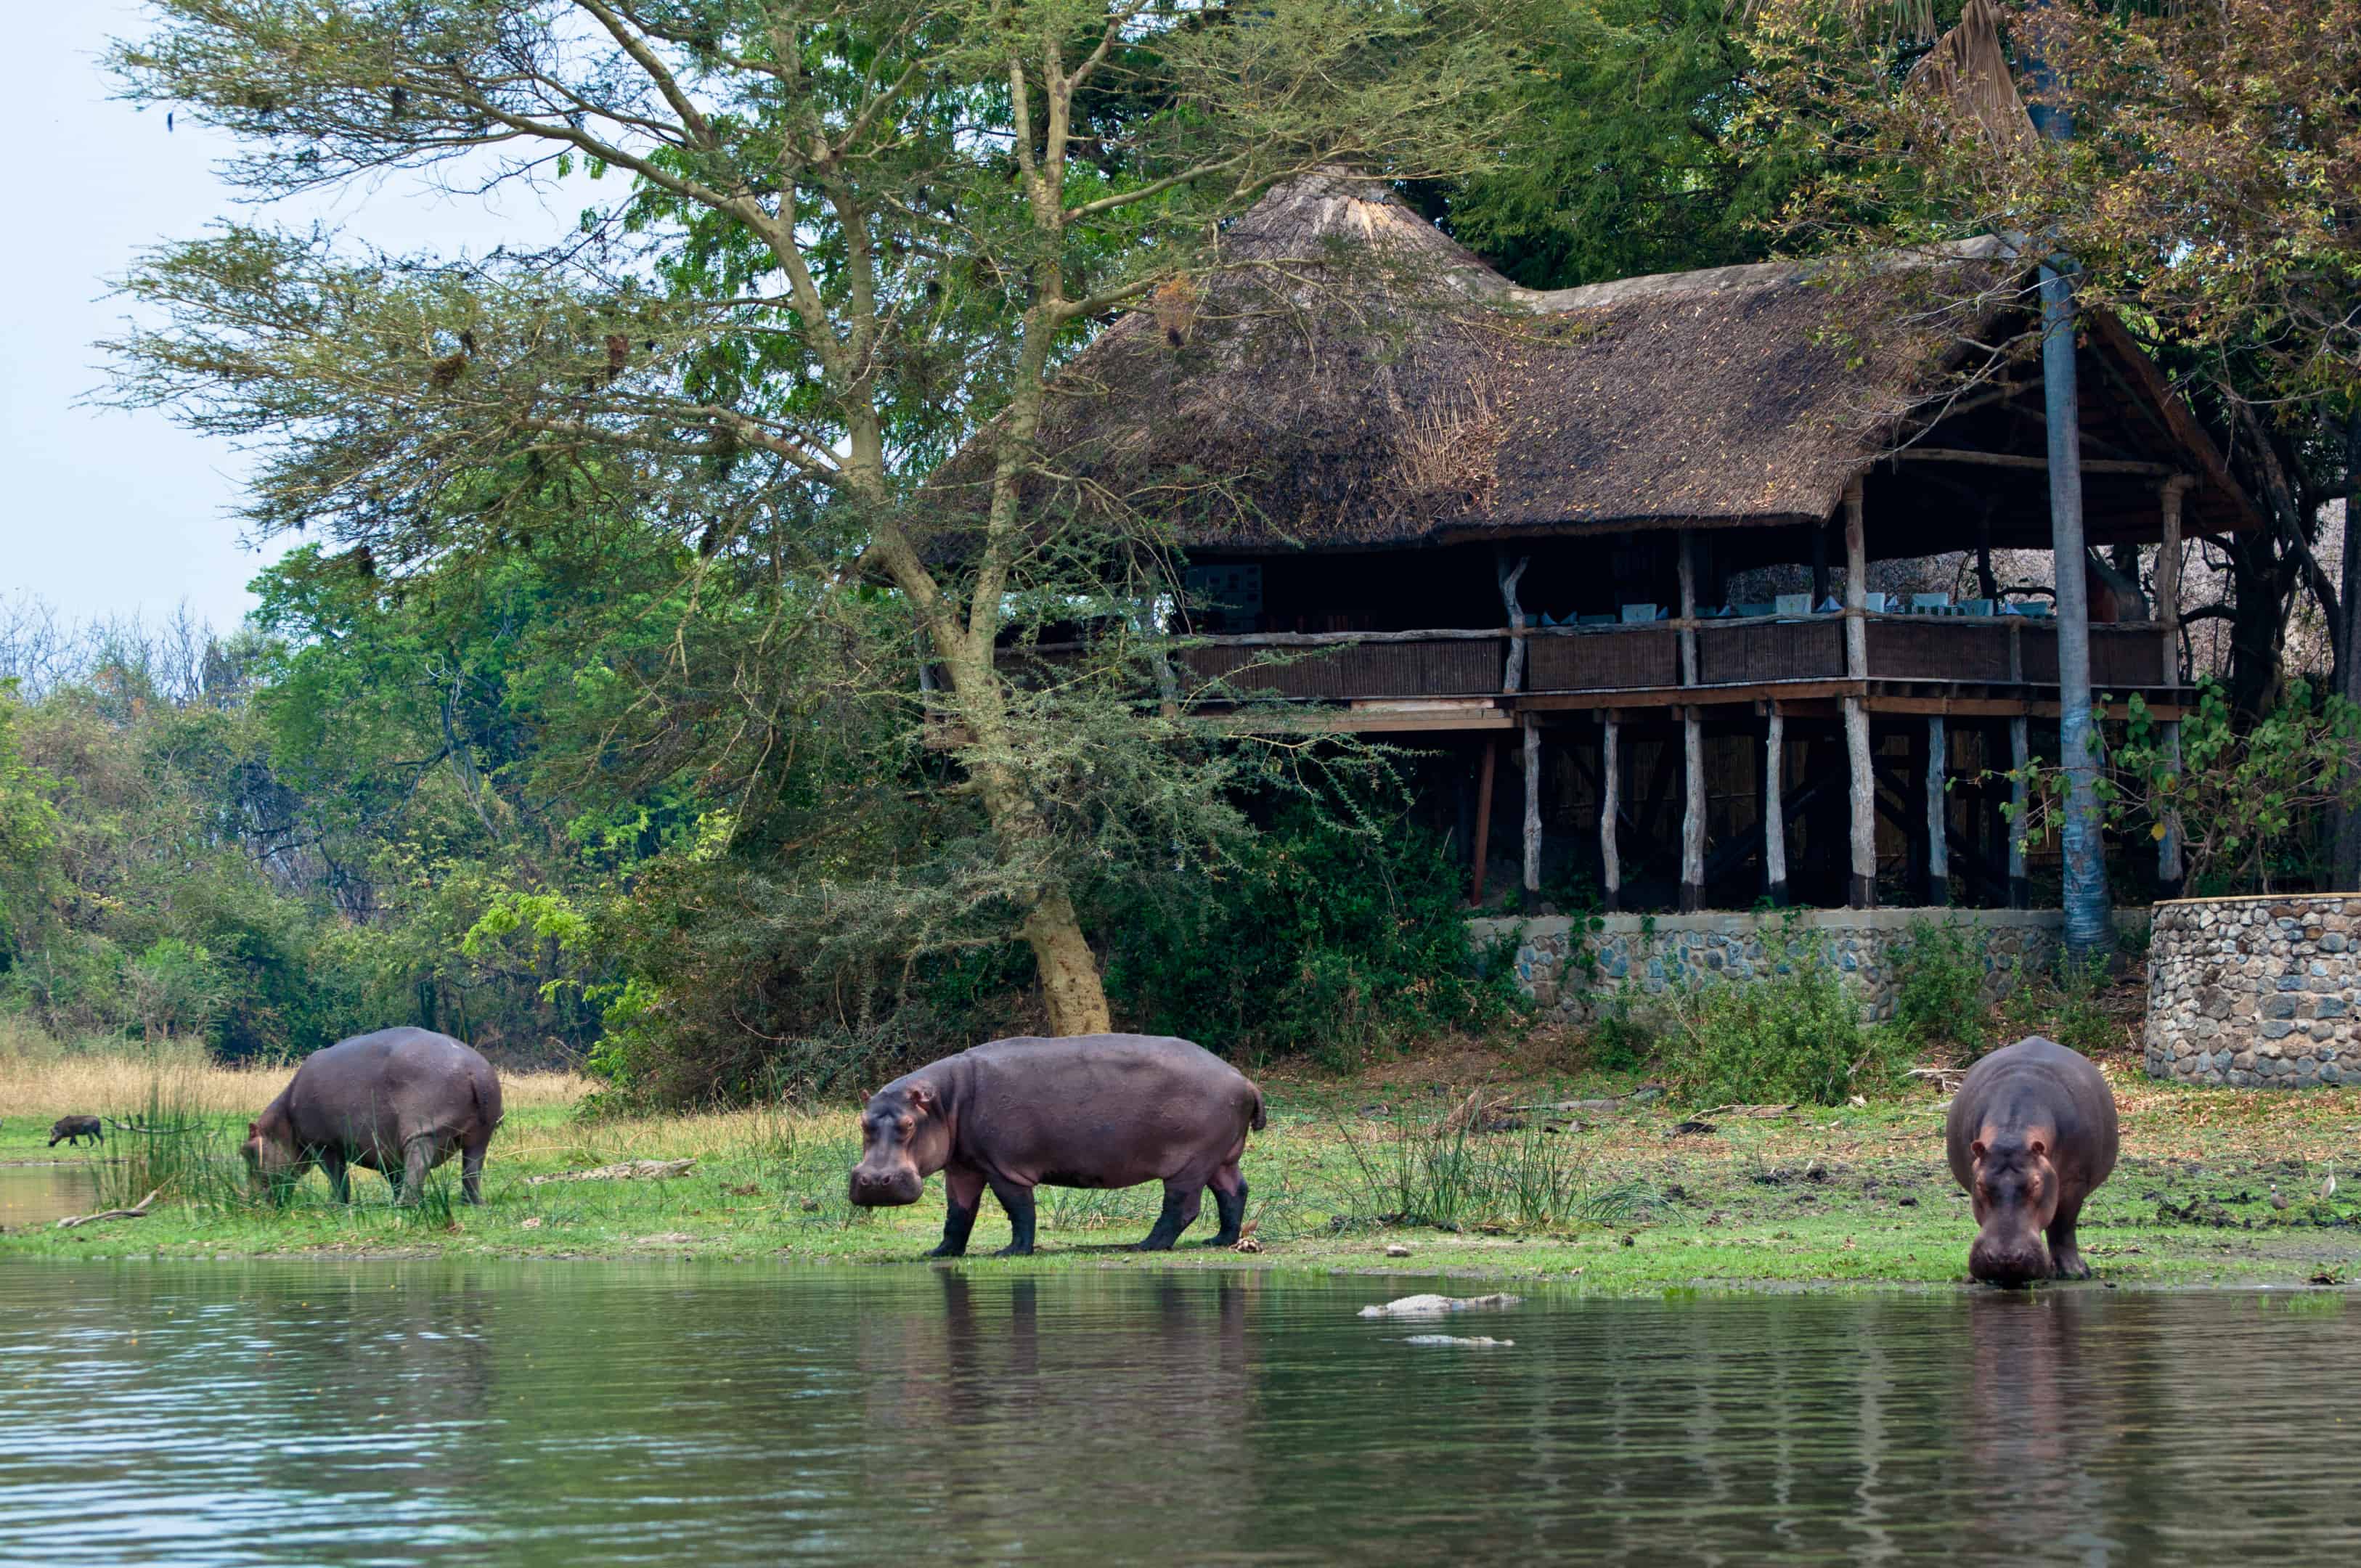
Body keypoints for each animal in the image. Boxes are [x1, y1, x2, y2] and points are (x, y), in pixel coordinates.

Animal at [245, 1024, 502, 1204]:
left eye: (246, 1151)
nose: (249, 1202)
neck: (283, 1122)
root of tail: (474, 1070)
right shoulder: (387, 1150)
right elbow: (393, 1176)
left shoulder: (323, 1145)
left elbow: (337, 1177)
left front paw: (335, 1205)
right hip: (482, 1133)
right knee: (472, 1168)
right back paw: (471, 1202)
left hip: (422, 1131)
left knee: (418, 1164)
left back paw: (405, 1204)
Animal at [855, 1029, 1265, 1265]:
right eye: (862, 1122)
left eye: (909, 1125)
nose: (874, 1182)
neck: (944, 1103)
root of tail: (1243, 1079)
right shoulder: (963, 1167)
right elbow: (959, 1214)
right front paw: (940, 1253)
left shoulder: (1003, 1167)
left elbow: (1019, 1211)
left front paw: (1010, 1252)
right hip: (1220, 1158)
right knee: (1234, 1191)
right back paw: (1219, 1240)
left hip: (1190, 1163)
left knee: (1182, 1206)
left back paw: (1145, 1245)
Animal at [1945, 1029, 2134, 1284]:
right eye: (1980, 1184)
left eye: (2036, 1183)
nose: (2004, 1260)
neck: (2012, 1133)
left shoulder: (2073, 1182)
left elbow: (2063, 1226)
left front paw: (2075, 1272)